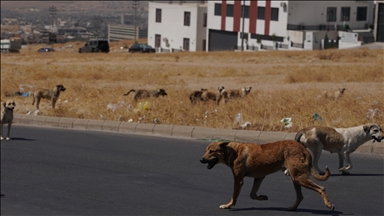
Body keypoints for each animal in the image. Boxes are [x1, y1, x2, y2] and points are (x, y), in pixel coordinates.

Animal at [200, 140, 334, 211]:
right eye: (206, 150)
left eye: (212, 151)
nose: (201, 160)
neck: (232, 151)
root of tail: (304, 149)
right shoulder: (259, 177)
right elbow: (252, 194)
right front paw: (261, 197)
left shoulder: (238, 180)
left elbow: (234, 197)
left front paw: (228, 205)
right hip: (296, 179)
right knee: (300, 196)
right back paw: (292, 208)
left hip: (299, 178)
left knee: (321, 188)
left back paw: (329, 205)